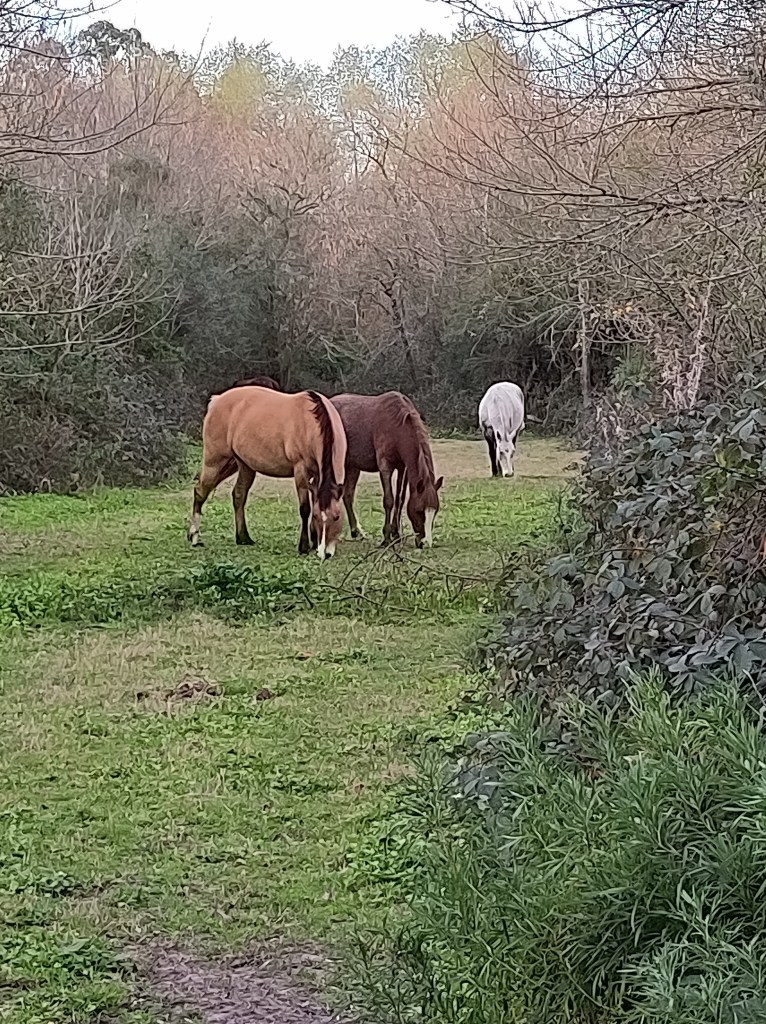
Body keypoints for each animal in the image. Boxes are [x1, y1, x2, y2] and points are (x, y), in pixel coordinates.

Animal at [187, 386, 347, 559]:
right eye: (317, 517)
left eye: (337, 517)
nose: (325, 553)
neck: (311, 422)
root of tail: (216, 400)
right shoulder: (301, 472)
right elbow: (305, 508)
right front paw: (304, 546)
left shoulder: (316, 477)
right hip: (216, 462)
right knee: (200, 491)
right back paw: (194, 536)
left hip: (243, 465)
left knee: (238, 495)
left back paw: (243, 537)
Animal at [330, 391, 443, 548]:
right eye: (419, 511)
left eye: (435, 510)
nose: (426, 543)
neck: (397, 426)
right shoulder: (385, 467)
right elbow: (389, 500)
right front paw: (387, 537)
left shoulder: (403, 468)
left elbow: (399, 499)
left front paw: (396, 534)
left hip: (352, 466)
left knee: (348, 496)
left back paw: (356, 532)